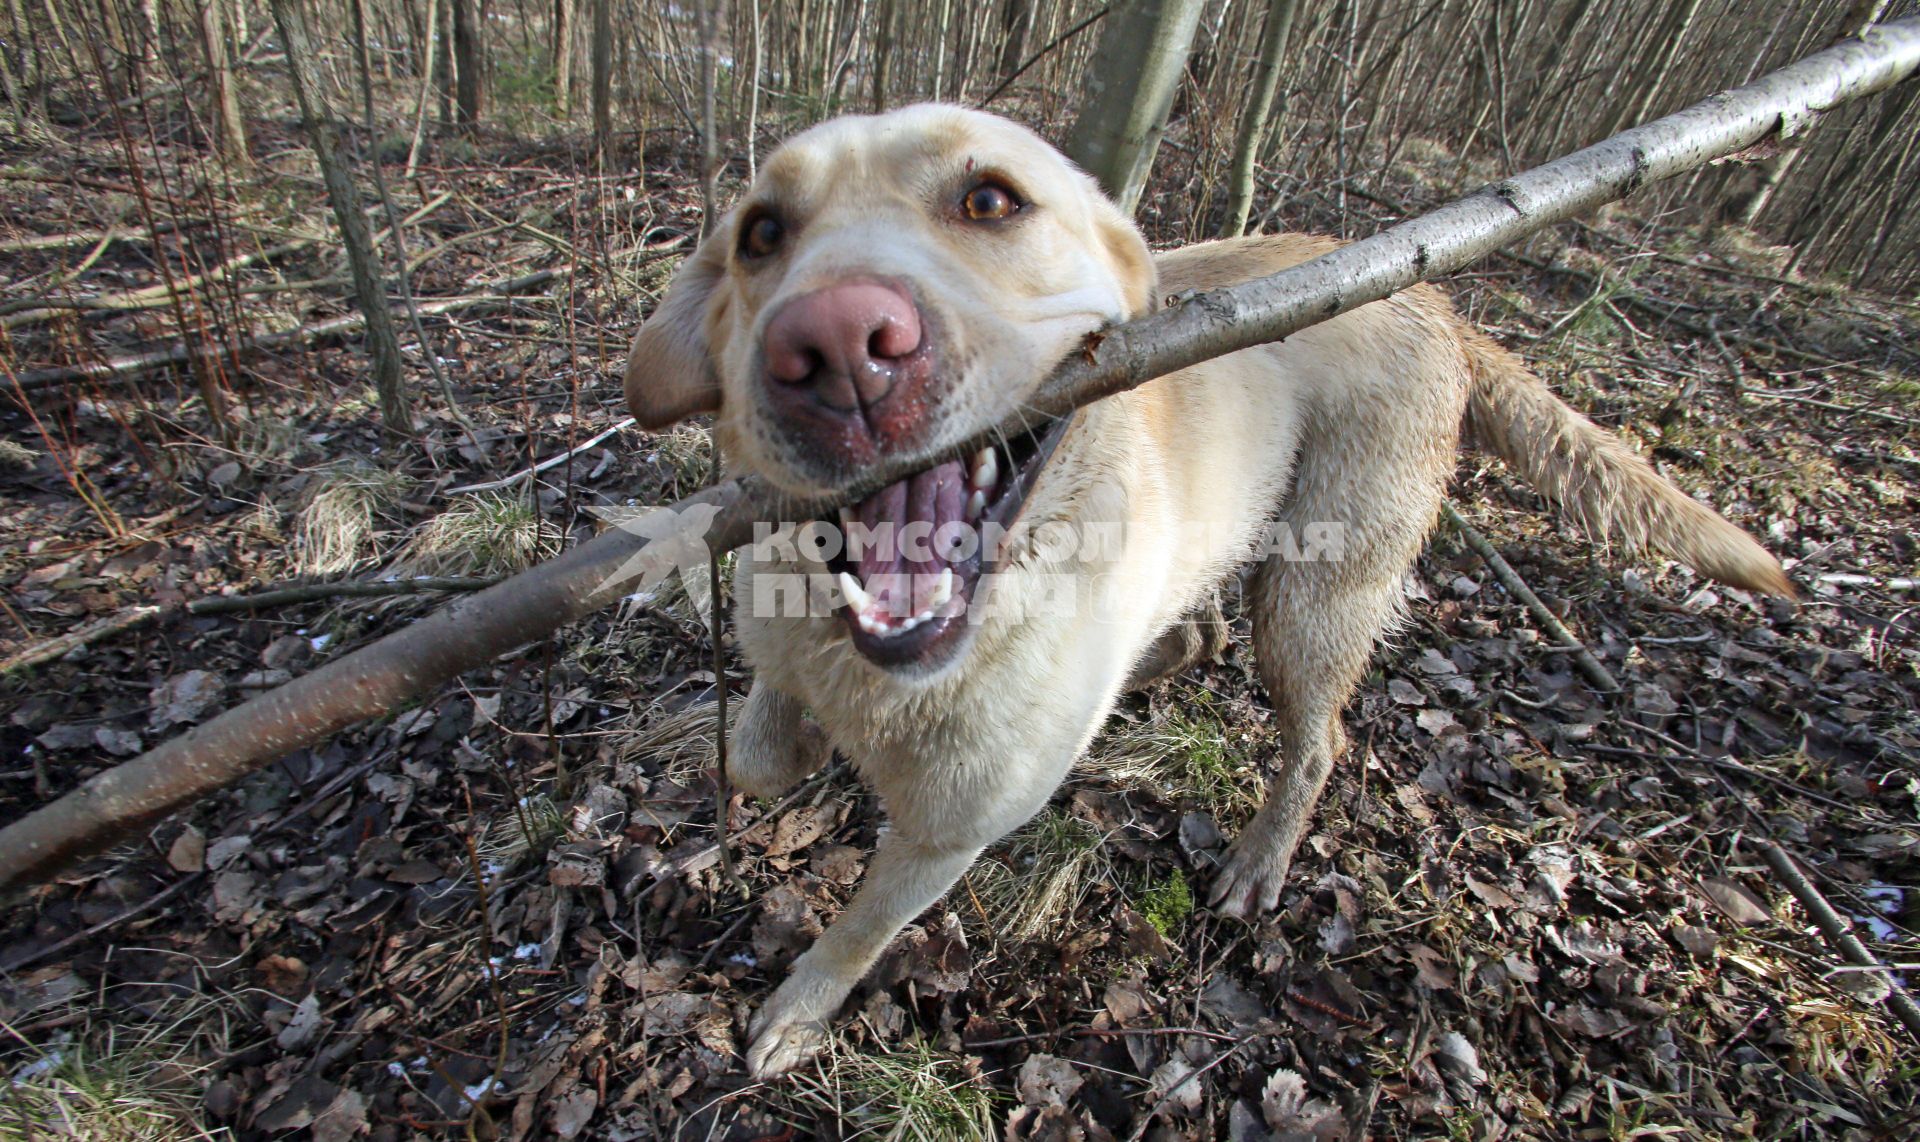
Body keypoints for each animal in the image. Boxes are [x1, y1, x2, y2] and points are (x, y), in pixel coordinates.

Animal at [622, 102, 1789, 1074]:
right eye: (761, 234)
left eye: (991, 200)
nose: (836, 343)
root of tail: (1432, 294)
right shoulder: (788, 641)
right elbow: (758, 749)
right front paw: (790, 749)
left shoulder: (948, 835)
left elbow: (862, 927)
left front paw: (799, 1009)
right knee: (1202, 636)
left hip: (1316, 598)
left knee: (1316, 739)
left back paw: (1257, 862)